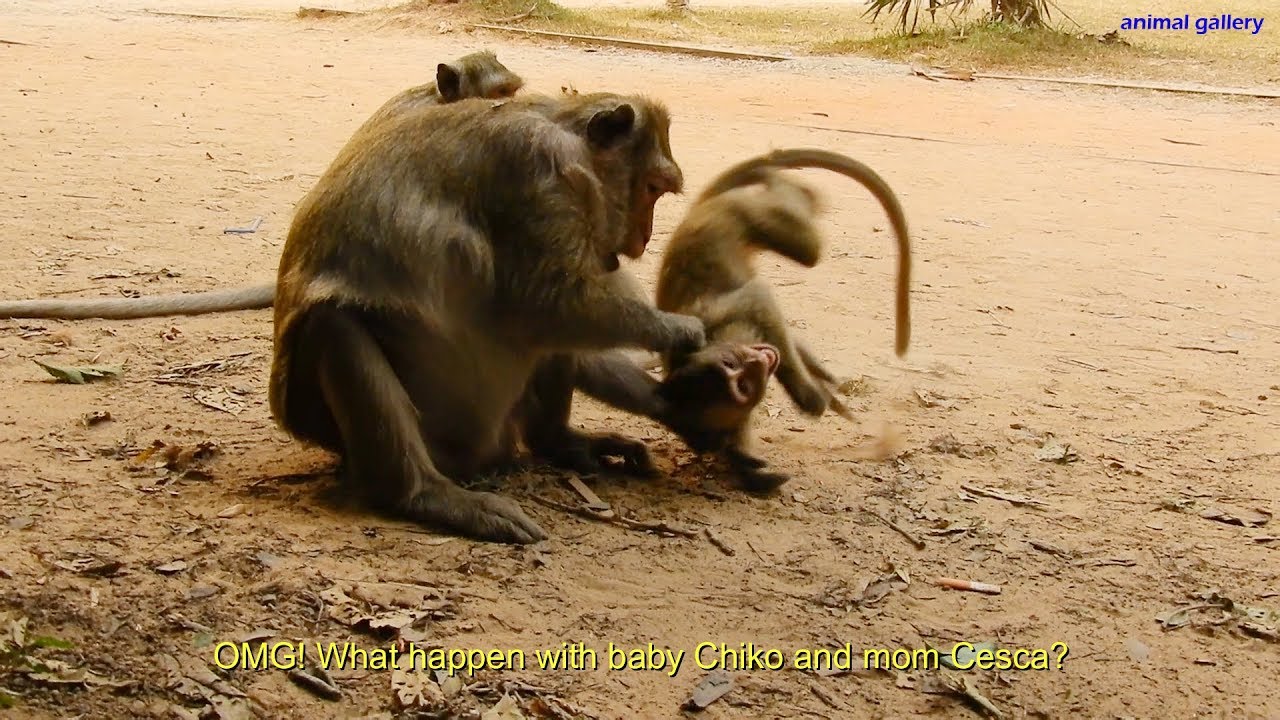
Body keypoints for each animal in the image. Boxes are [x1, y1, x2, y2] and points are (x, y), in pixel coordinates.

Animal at [268, 91, 700, 545]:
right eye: (652, 188)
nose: (645, 236)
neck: (569, 141)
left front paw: (675, 402)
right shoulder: (533, 170)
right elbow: (547, 305)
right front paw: (682, 330)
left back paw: (559, 442)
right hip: (431, 437)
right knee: (334, 326)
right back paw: (422, 493)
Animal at [650, 148, 912, 493]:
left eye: (735, 370)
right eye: (744, 385)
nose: (758, 363)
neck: (717, 339)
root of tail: (698, 212)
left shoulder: (725, 321)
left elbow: (760, 300)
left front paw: (810, 395)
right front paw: (745, 462)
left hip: (744, 211)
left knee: (806, 252)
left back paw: (783, 180)